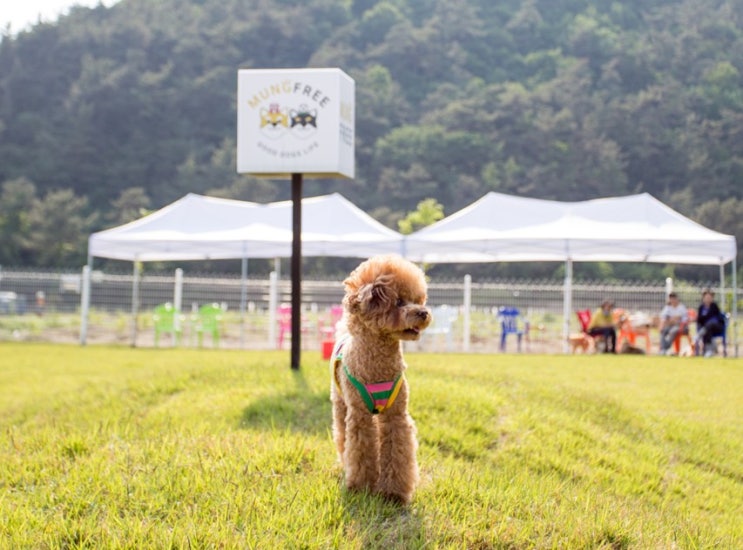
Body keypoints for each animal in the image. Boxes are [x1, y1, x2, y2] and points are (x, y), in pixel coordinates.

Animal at [330, 256, 434, 506]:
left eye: (417, 300)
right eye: (398, 301)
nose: (424, 312)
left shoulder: (396, 414)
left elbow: (397, 451)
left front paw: (393, 494)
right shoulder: (359, 415)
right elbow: (359, 449)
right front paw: (361, 488)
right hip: (340, 403)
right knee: (342, 436)